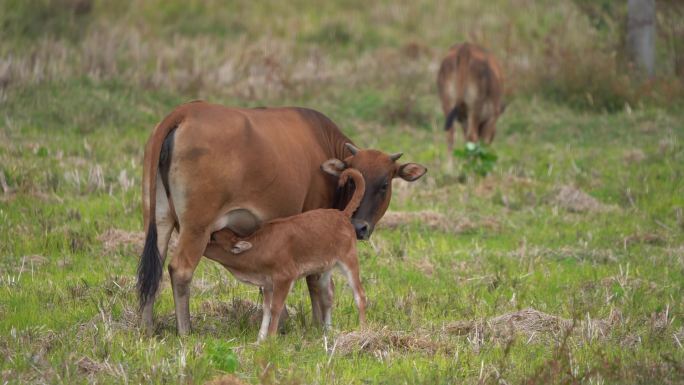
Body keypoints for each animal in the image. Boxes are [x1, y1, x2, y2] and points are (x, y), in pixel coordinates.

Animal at [204, 163, 368, 340]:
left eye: (214, 238)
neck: (259, 247)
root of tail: (342, 215)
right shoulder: (267, 283)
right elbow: (266, 309)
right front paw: (260, 338)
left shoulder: (285, 278)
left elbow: (276, 307)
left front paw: (271, 338)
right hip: (325, 268)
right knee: (328, 296)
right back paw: (328, 331)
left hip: (349, 260)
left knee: (360, 295)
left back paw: (362, 330)